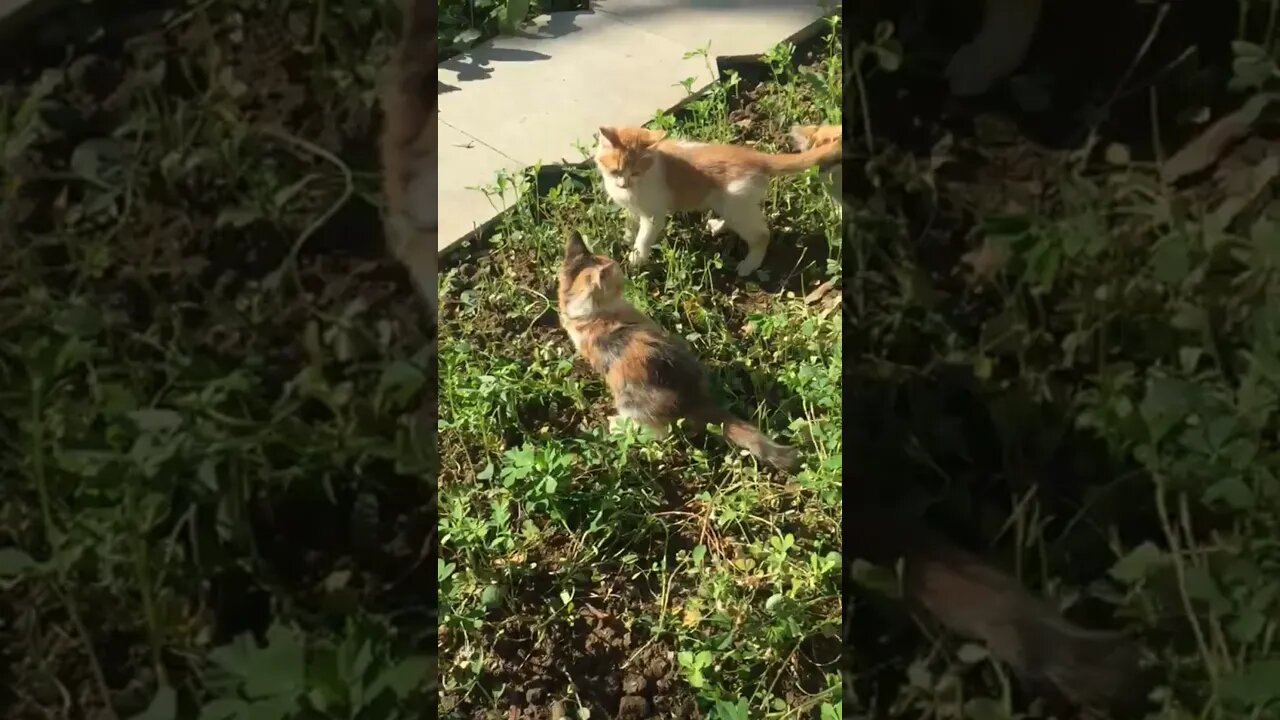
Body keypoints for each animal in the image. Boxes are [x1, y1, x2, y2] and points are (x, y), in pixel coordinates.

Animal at [593, 126, 844, 274]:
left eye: (635, 173)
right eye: (616, 171)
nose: (623, 184)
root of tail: (756, 157)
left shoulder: (654, 214)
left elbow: (644, 236)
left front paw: (636, 257)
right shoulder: (633, 208)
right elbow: (631, 222)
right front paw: (627, 237)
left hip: (737, 203)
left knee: (761, 235)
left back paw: (748, 265)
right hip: (730, 203)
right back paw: (717, 226)